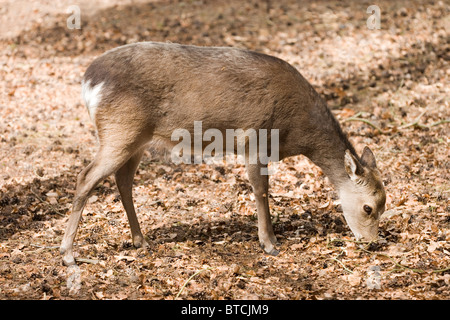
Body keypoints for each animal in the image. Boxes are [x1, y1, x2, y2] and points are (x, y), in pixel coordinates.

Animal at [59, 41, 384, 266]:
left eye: (385, 204)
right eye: (368, 207)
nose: (371, 243)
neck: (296, 134)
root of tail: (88, 81)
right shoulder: (253, 139)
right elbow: (261, 190)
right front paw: (270, 244)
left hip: (136, 139)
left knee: (122, 181)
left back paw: (140, 241)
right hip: (119, 129)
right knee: (85, 177)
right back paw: (68, 254)